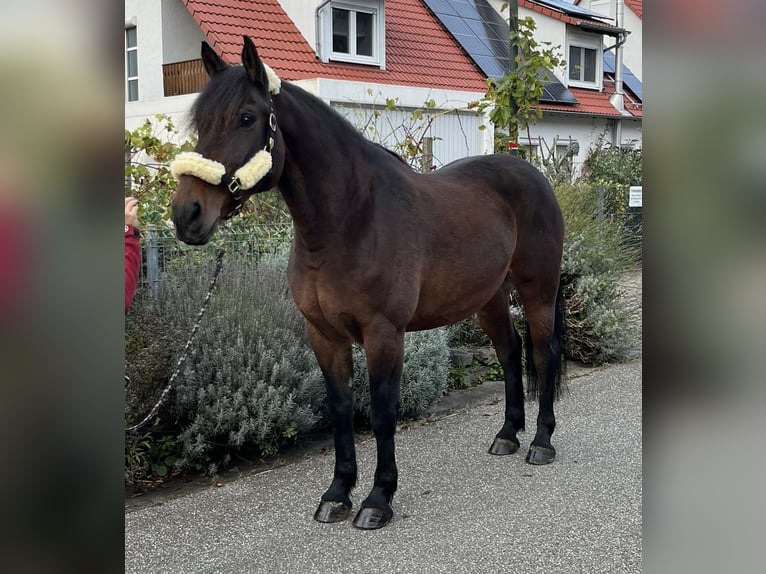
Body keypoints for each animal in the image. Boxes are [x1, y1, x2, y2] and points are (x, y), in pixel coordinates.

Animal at [171, 36, 568, 532]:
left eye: (246, 117)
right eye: (200, 122)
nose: (187, 215)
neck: (350, 221)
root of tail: (532, 174)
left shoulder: (384, 334)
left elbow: (381, 412)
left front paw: (379, 499)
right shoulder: (323, 335)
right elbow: (341, 409)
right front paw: (337, 493)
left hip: (538, 291)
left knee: (543, 354)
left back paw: (541, 442)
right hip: (488, 298)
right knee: (510, 352)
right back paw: (507, 435)